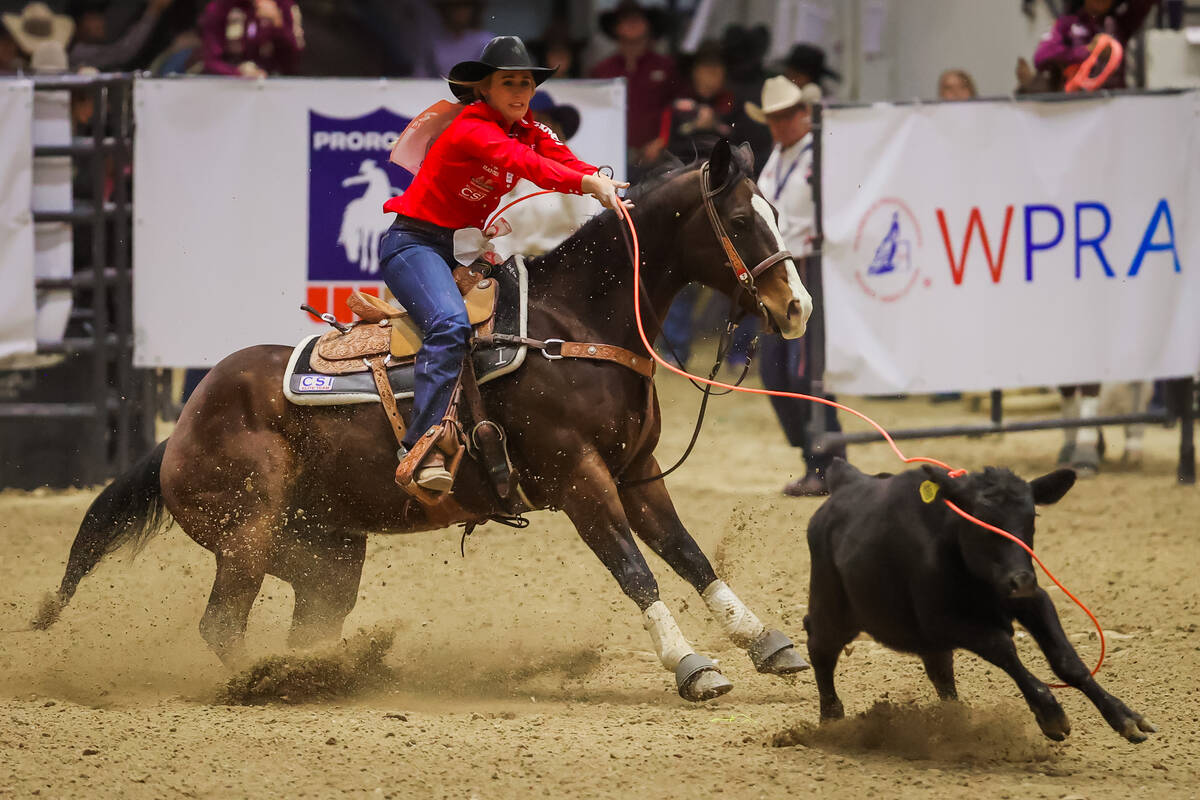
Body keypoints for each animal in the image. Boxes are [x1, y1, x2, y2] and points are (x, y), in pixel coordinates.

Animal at [35, 140, 816, 705]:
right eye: (740, 221)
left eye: (778, 212)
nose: (799, 307)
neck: (576, 327)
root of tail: (181, 429)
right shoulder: (579, 479)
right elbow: (635, 569)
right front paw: (692, 665)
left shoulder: (637, 471)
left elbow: (689, 555)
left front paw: (767, 641)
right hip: (247, 537)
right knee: (222, 624)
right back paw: (264, 684)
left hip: (325, 554)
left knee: (308, 619)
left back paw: (324, 675)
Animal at [801, 460, 1156, 748]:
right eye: (981, 519)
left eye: (1032, 516)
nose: (1021, 580)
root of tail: (848, 482)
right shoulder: (944, 620)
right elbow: (1003, 647)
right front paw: (1050, 713)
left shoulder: (1034, 601)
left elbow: (1067, 660)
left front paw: (1124, 717)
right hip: (830, 607)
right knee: (821, 649)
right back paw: (831, 718)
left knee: (940, 670)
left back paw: (953, 717)